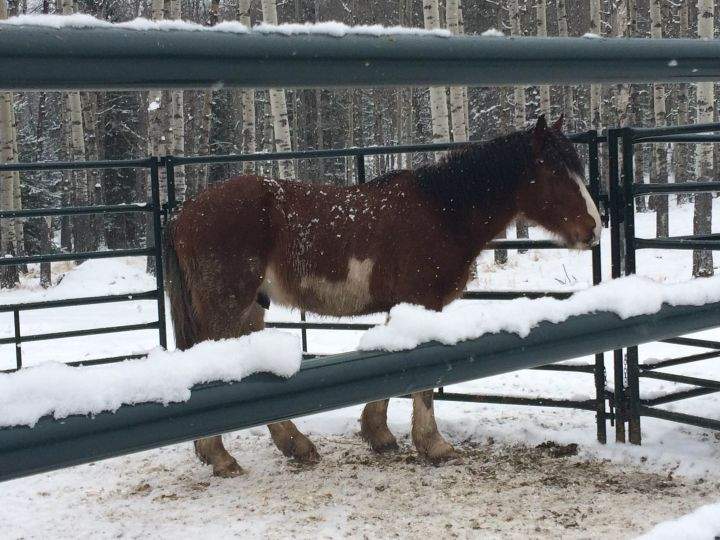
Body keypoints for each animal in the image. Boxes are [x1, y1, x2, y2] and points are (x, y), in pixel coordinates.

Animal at [163, 115, 601, 477]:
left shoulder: (403, 308)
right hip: (227, 308)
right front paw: (434, 445)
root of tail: (185, 213)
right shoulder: (422, 303)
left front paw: (378, 433)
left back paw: (294, 446)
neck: (442, 212)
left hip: (250, 310)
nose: (594, 228)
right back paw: (222, 457)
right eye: (555, 173)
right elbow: (422, 380)